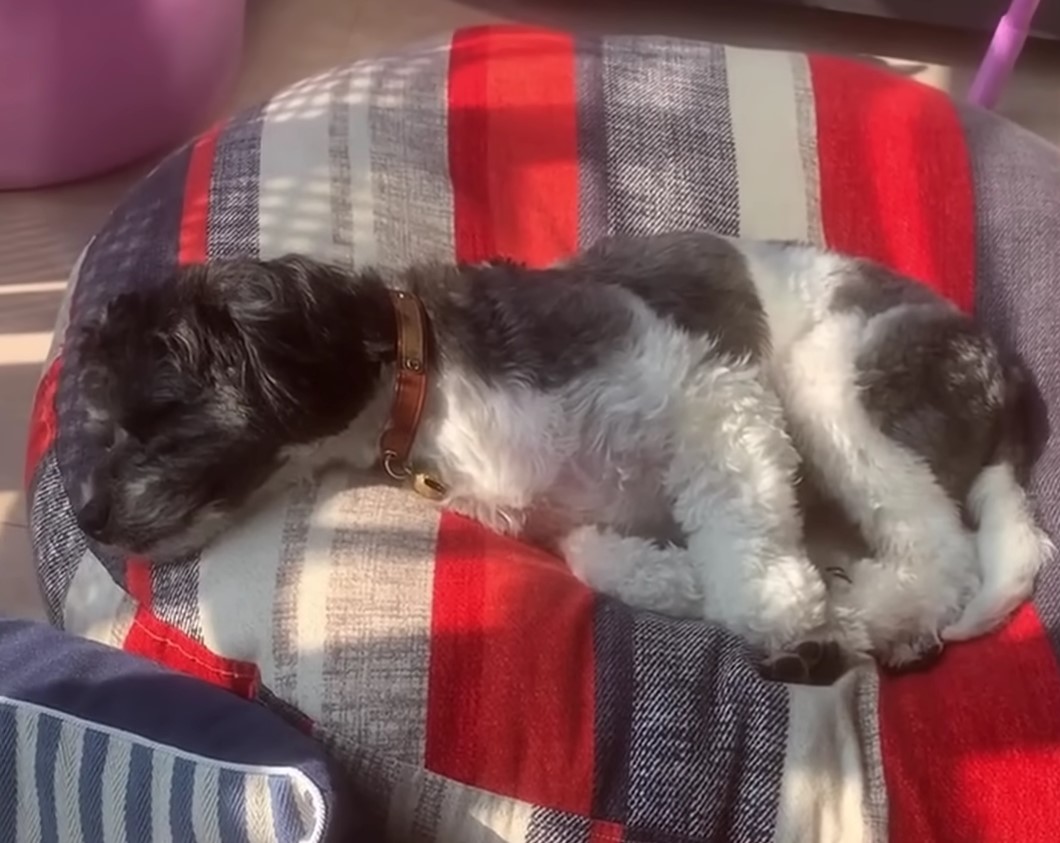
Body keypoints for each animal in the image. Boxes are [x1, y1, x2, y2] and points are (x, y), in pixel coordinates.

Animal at [74, 234, 1051, 682]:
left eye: (151, 417)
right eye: (98, 418)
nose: (84, 513)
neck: (432, 387)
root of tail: (1004, 371)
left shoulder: (709, 387)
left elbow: (751, 576)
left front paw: (787, 614)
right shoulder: (560, 517)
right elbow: (597, 555)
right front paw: (680, 578)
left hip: (832, 381)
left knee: (941, 554)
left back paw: (861, 617)